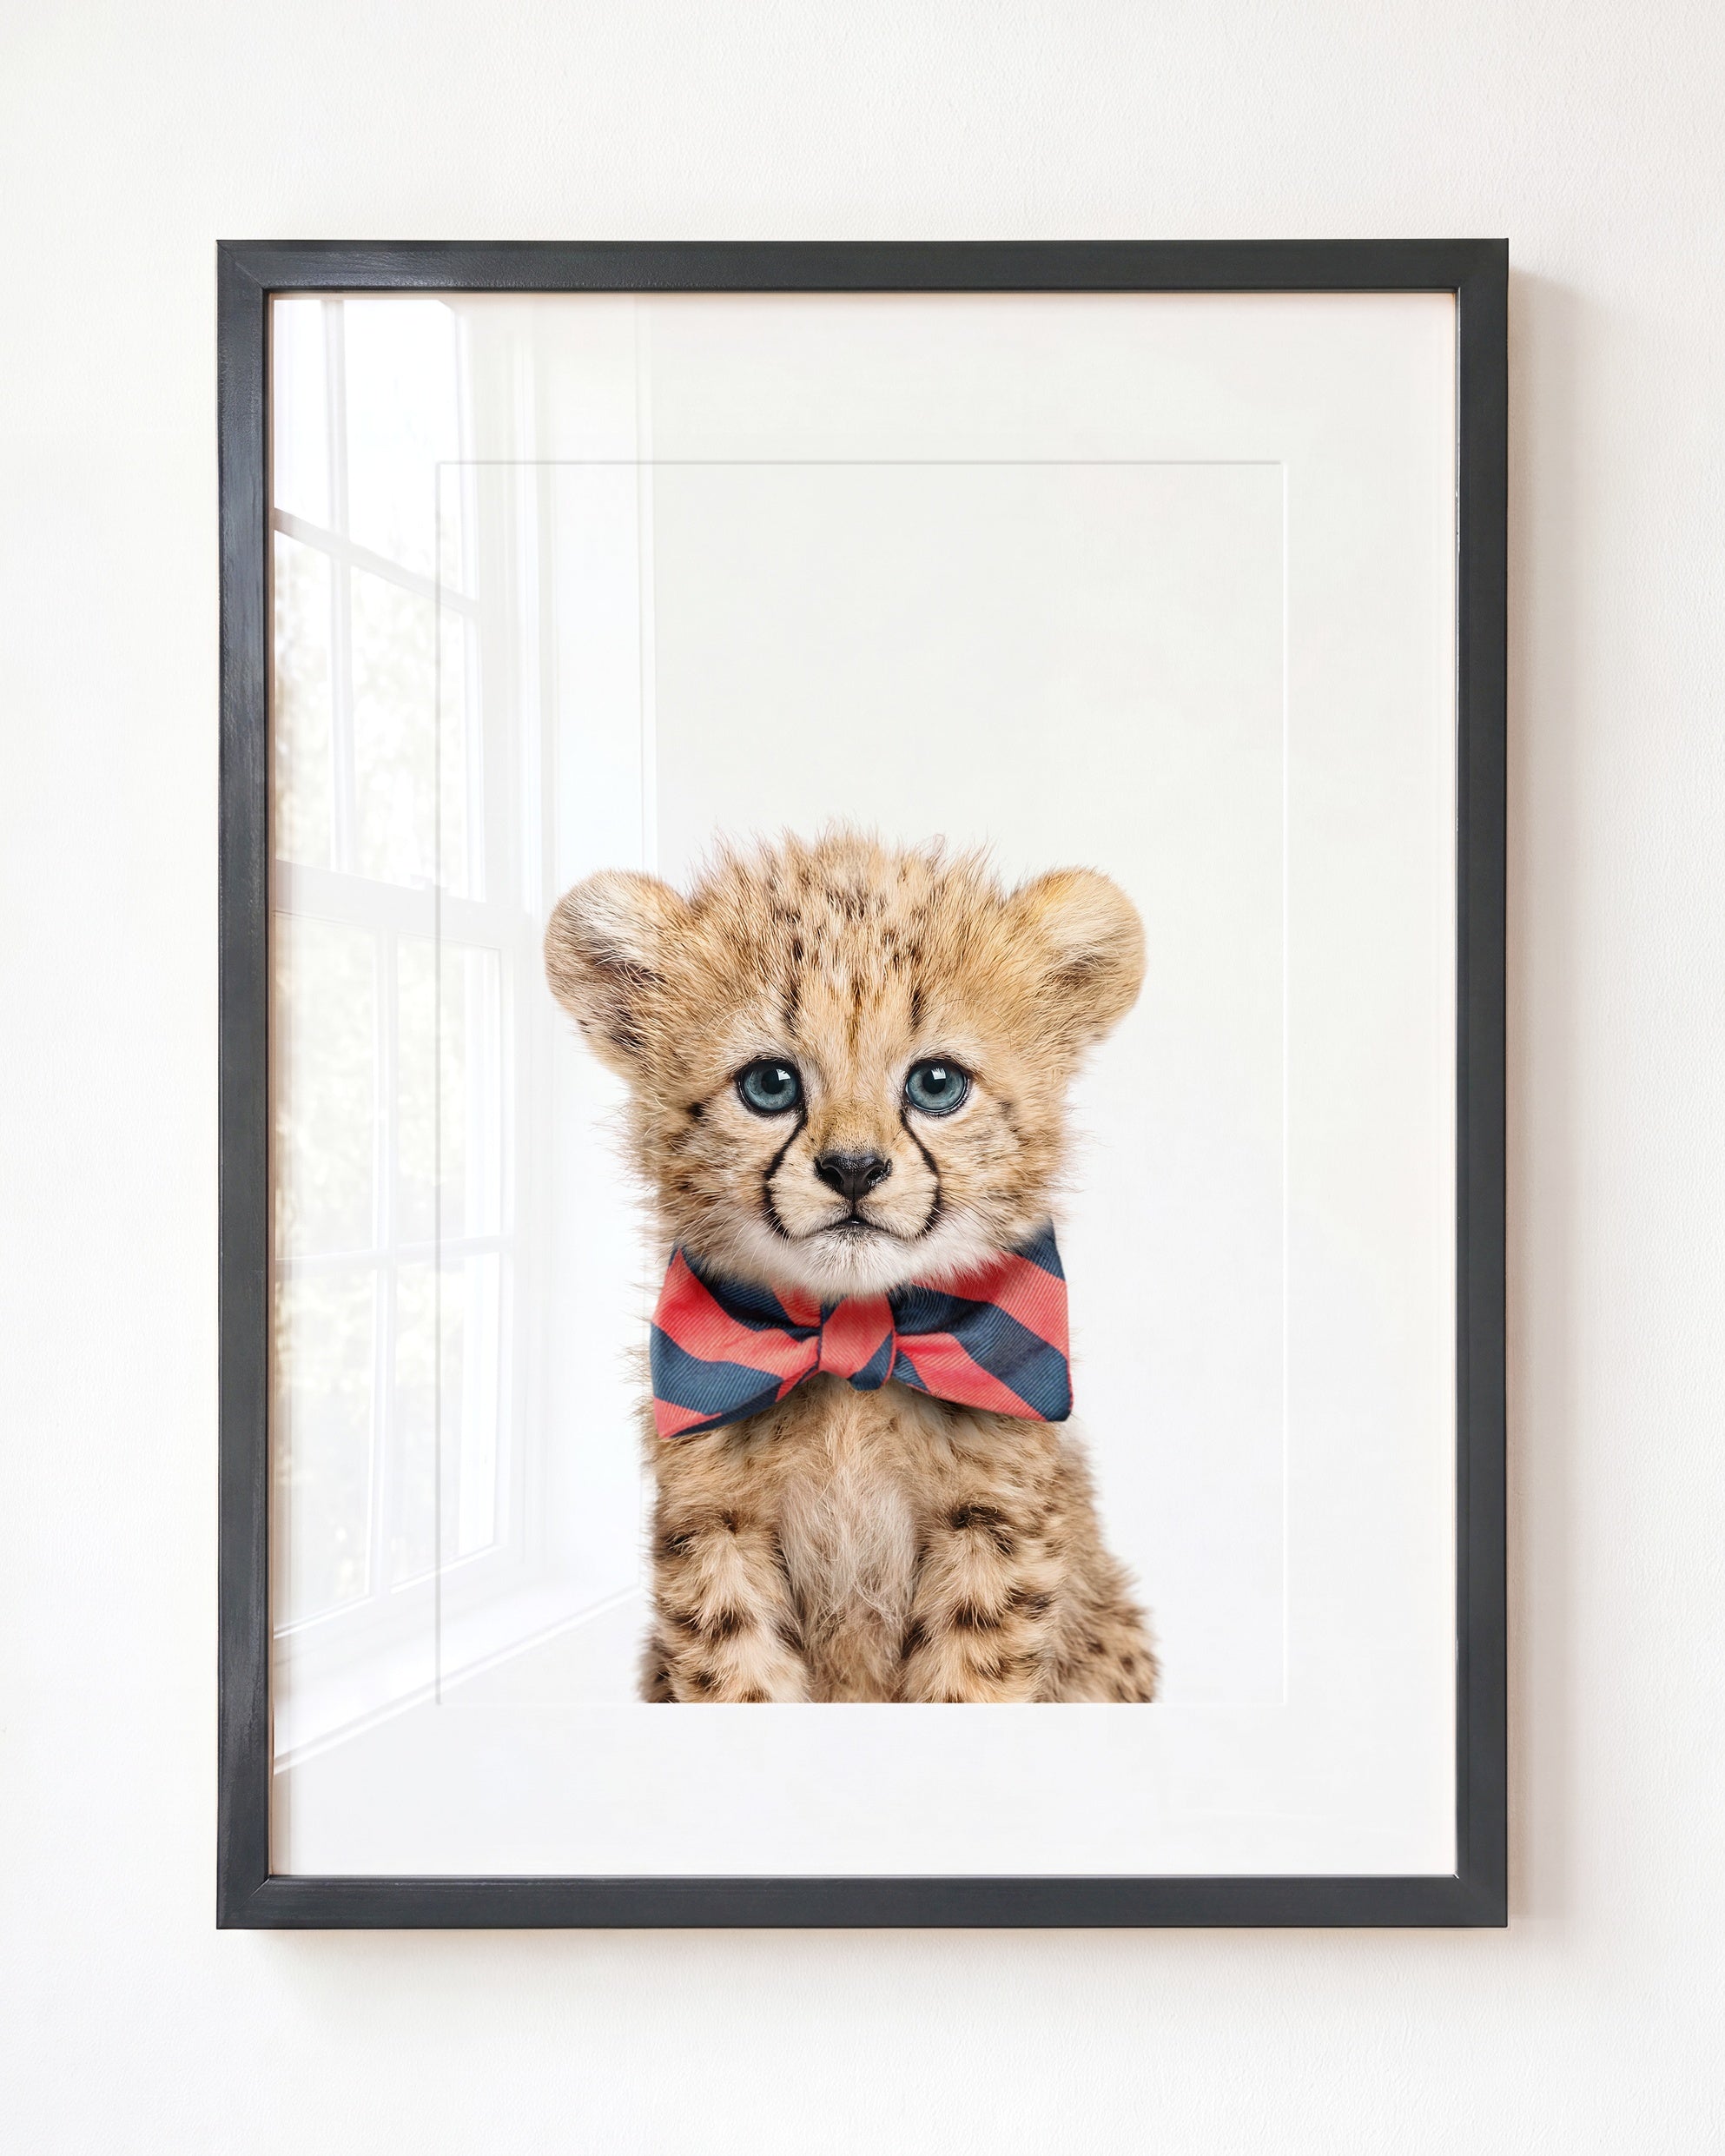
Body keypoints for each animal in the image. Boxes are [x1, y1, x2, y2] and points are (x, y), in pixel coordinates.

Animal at [544, 828, 1158, 1703]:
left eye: (937, 1084)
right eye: (770, 1084)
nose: (855, 1169)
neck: (853, 1344)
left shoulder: (995, 1528)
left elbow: (969, 1681)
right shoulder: (715, 1528)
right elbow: (739, 1677)